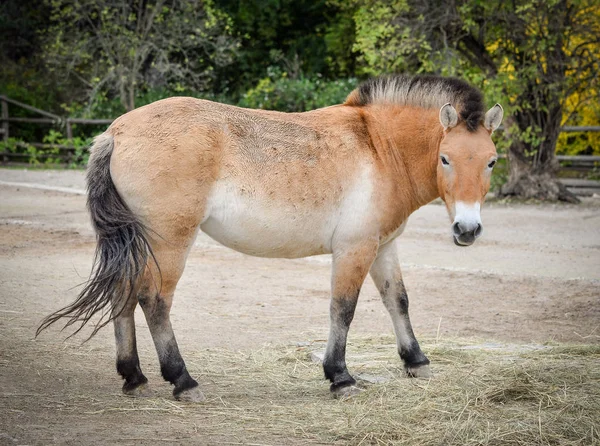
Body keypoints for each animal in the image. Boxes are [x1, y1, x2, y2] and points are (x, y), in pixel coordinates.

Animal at [37, 74, 504, 400]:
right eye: (446, 158)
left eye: (491, 161)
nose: (467, 230)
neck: (378, 144)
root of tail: (116, 132)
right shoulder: (354, 249)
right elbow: (343, 309)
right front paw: (340, 377)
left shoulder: (382, 245)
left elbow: (398, 300)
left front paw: (417, 361)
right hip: (169, 242)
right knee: (154, 301)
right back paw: (183, 381)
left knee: (123, 294)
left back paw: (134, 377)